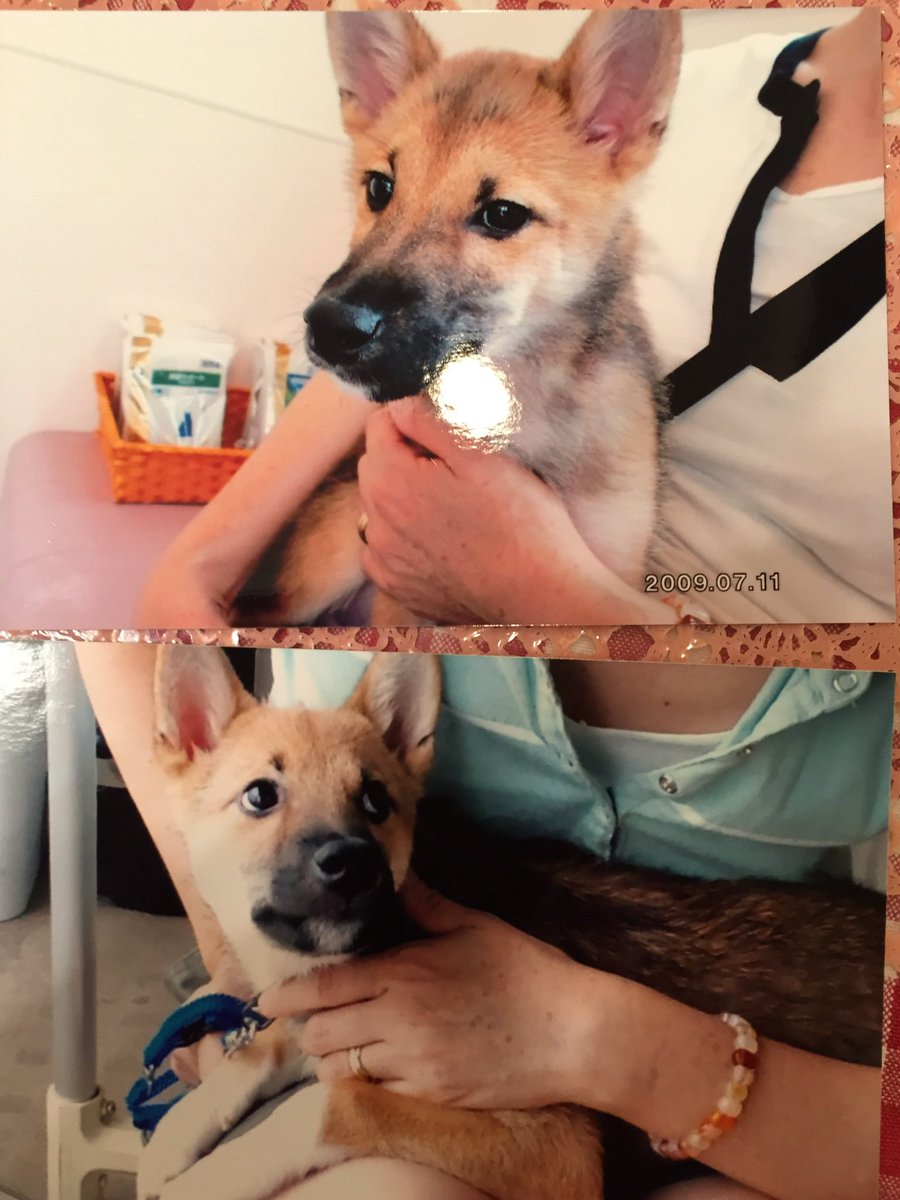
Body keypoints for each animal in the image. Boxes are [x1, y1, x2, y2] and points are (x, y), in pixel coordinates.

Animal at [138, 646, 883, 1200]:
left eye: (376, 800)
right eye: (260, 796)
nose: (355, 866)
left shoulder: (557, 1151)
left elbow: (333, 1105)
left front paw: (209, 1179)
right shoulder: (323, 1016)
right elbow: (263, 1050)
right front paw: (174, 1137)